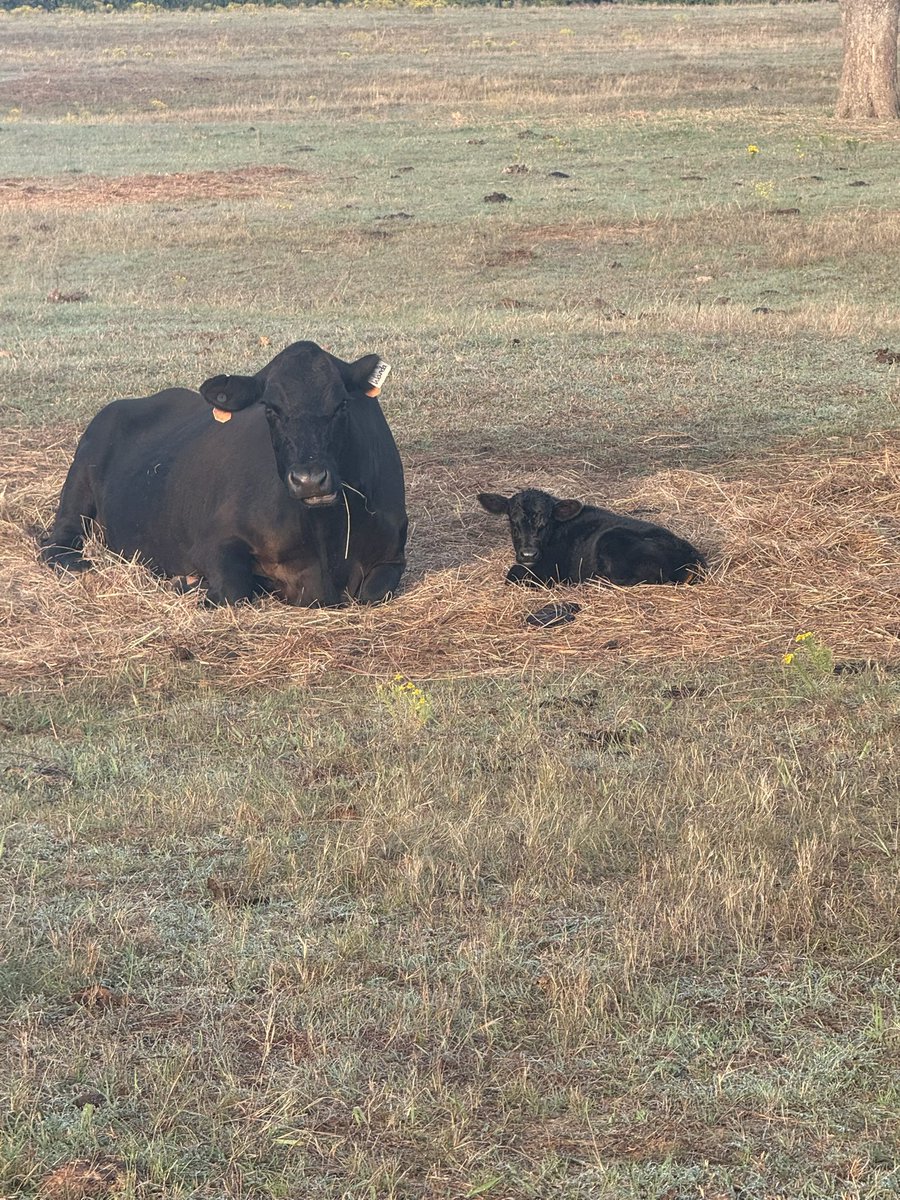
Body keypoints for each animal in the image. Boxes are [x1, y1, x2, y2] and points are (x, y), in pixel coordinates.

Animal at [41, 341, 407, 607]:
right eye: (270, 409)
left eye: (342, 405)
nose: (309, 479)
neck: (325, 534)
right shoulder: (212, 542)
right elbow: (234, 590)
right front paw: (188, 584)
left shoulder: (392, 557)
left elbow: (373, 594)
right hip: (78, 485)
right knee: (57, 540)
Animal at [477, 488, 705, 587]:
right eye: (512, 522)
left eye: (545, 523)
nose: (528, 554)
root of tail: (693, 557)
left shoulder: (549, 571)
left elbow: (513, 575)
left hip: (611, 539)